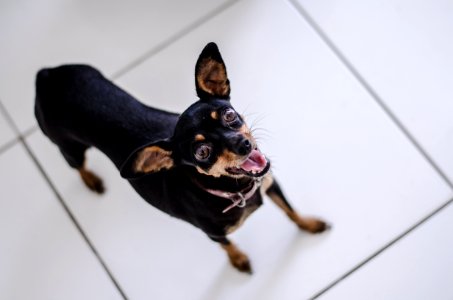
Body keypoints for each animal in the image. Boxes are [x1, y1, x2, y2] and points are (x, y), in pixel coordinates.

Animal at [33, 42, 326, 274]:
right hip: (70, 147)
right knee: (77, 166)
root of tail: (45, 76)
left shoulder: (271, 185)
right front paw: (239, 260)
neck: (237, 191)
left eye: (229, 115)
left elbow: (291, 211)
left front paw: (309, 224)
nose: (244, 145)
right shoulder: (214, 234)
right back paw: (91, 180)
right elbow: (228, 246)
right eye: (202, 152)